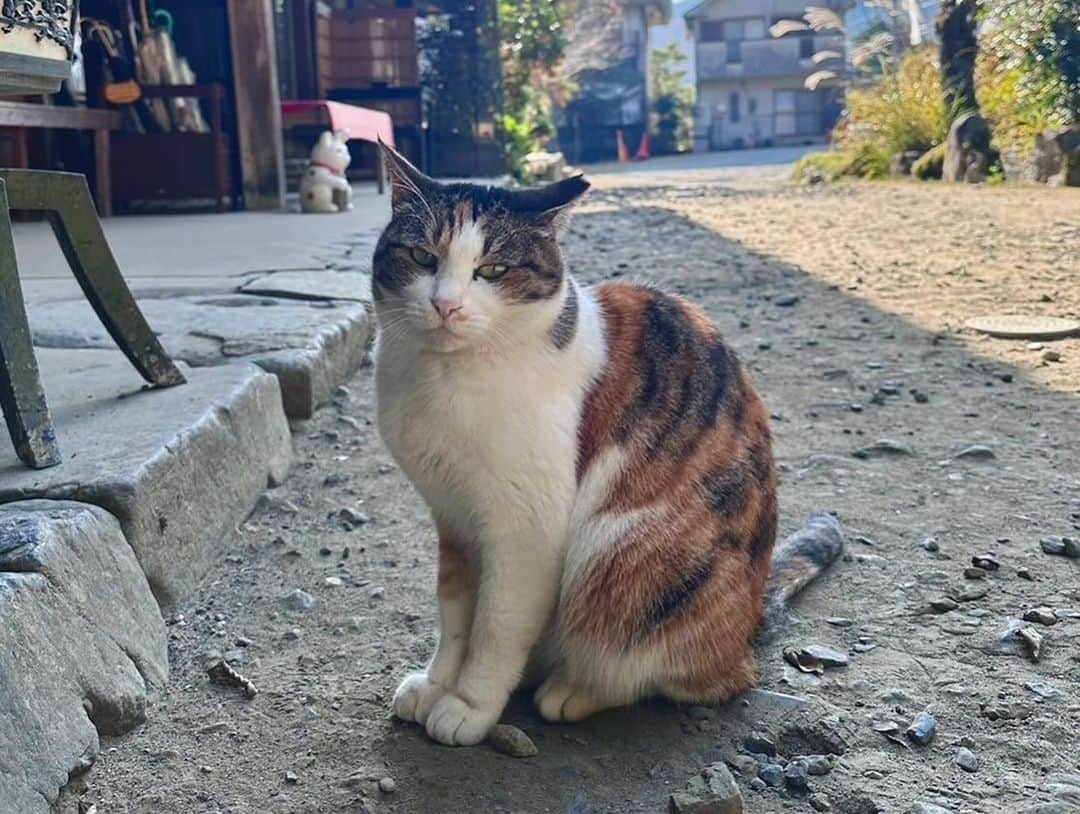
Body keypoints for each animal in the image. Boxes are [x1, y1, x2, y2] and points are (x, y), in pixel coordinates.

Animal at [371, 144, 842, 742]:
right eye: (422, 256)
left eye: (493, 269)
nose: (445, 305)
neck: (443, 380)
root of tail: (753, 613)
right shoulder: (452, 517)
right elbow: (456, 614)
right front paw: (437, 684)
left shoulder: (525, 528)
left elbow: (496, 624)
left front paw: (470, 705)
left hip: (620, 549)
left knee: (691, 673)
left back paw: (574, 690)